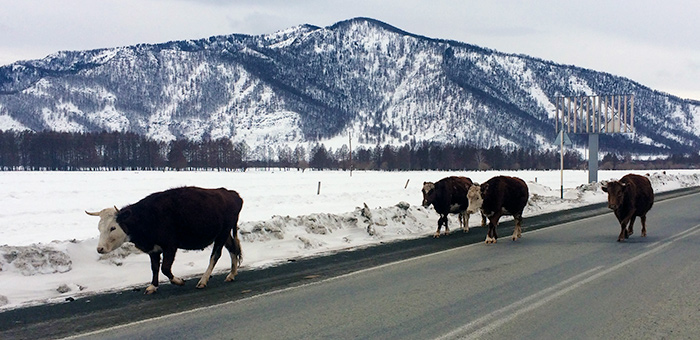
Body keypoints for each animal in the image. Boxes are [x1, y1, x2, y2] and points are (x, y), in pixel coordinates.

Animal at [87, 187, 243, 294]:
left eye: (113, 227)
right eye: (99, 227)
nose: (100, 249)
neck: (145, 218)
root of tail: (231, 193)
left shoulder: (170, 246)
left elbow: (165, 268)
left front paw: (179, 281)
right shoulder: (153, 249)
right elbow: (155, 267)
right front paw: (153, 286)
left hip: (222, 233)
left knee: (215, 255)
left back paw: (203, 280)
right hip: (223, 234)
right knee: (233, 249)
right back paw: (231, 274)